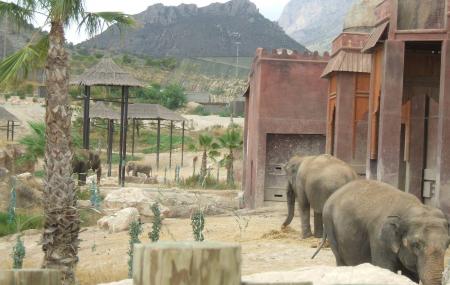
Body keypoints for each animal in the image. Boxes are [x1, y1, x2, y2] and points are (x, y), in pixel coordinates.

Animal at [314, 180, 450, 284]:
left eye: (447, 245)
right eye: (416, 244)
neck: (412, 208)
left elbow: (411, 275)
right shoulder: (379, 240)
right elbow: (385, 268)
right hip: (329, 223)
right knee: (340, 259)